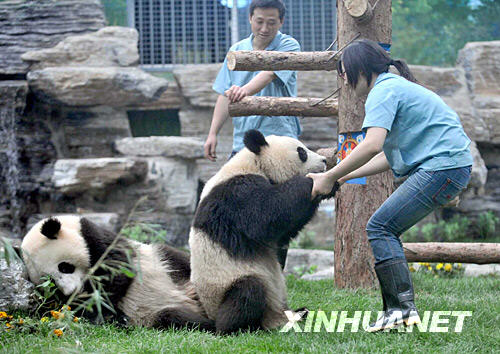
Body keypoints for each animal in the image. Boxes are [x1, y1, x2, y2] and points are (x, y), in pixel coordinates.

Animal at [189, 129, 338, 334]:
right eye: (302, 152)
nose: (324, 161)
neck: (253, 163)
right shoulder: (234, 195)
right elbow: (264, 217)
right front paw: (312, 182)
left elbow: (283, 231)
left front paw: (330, 185)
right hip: (225, 286)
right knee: (249, 292)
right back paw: (238, 327)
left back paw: (300, 313)